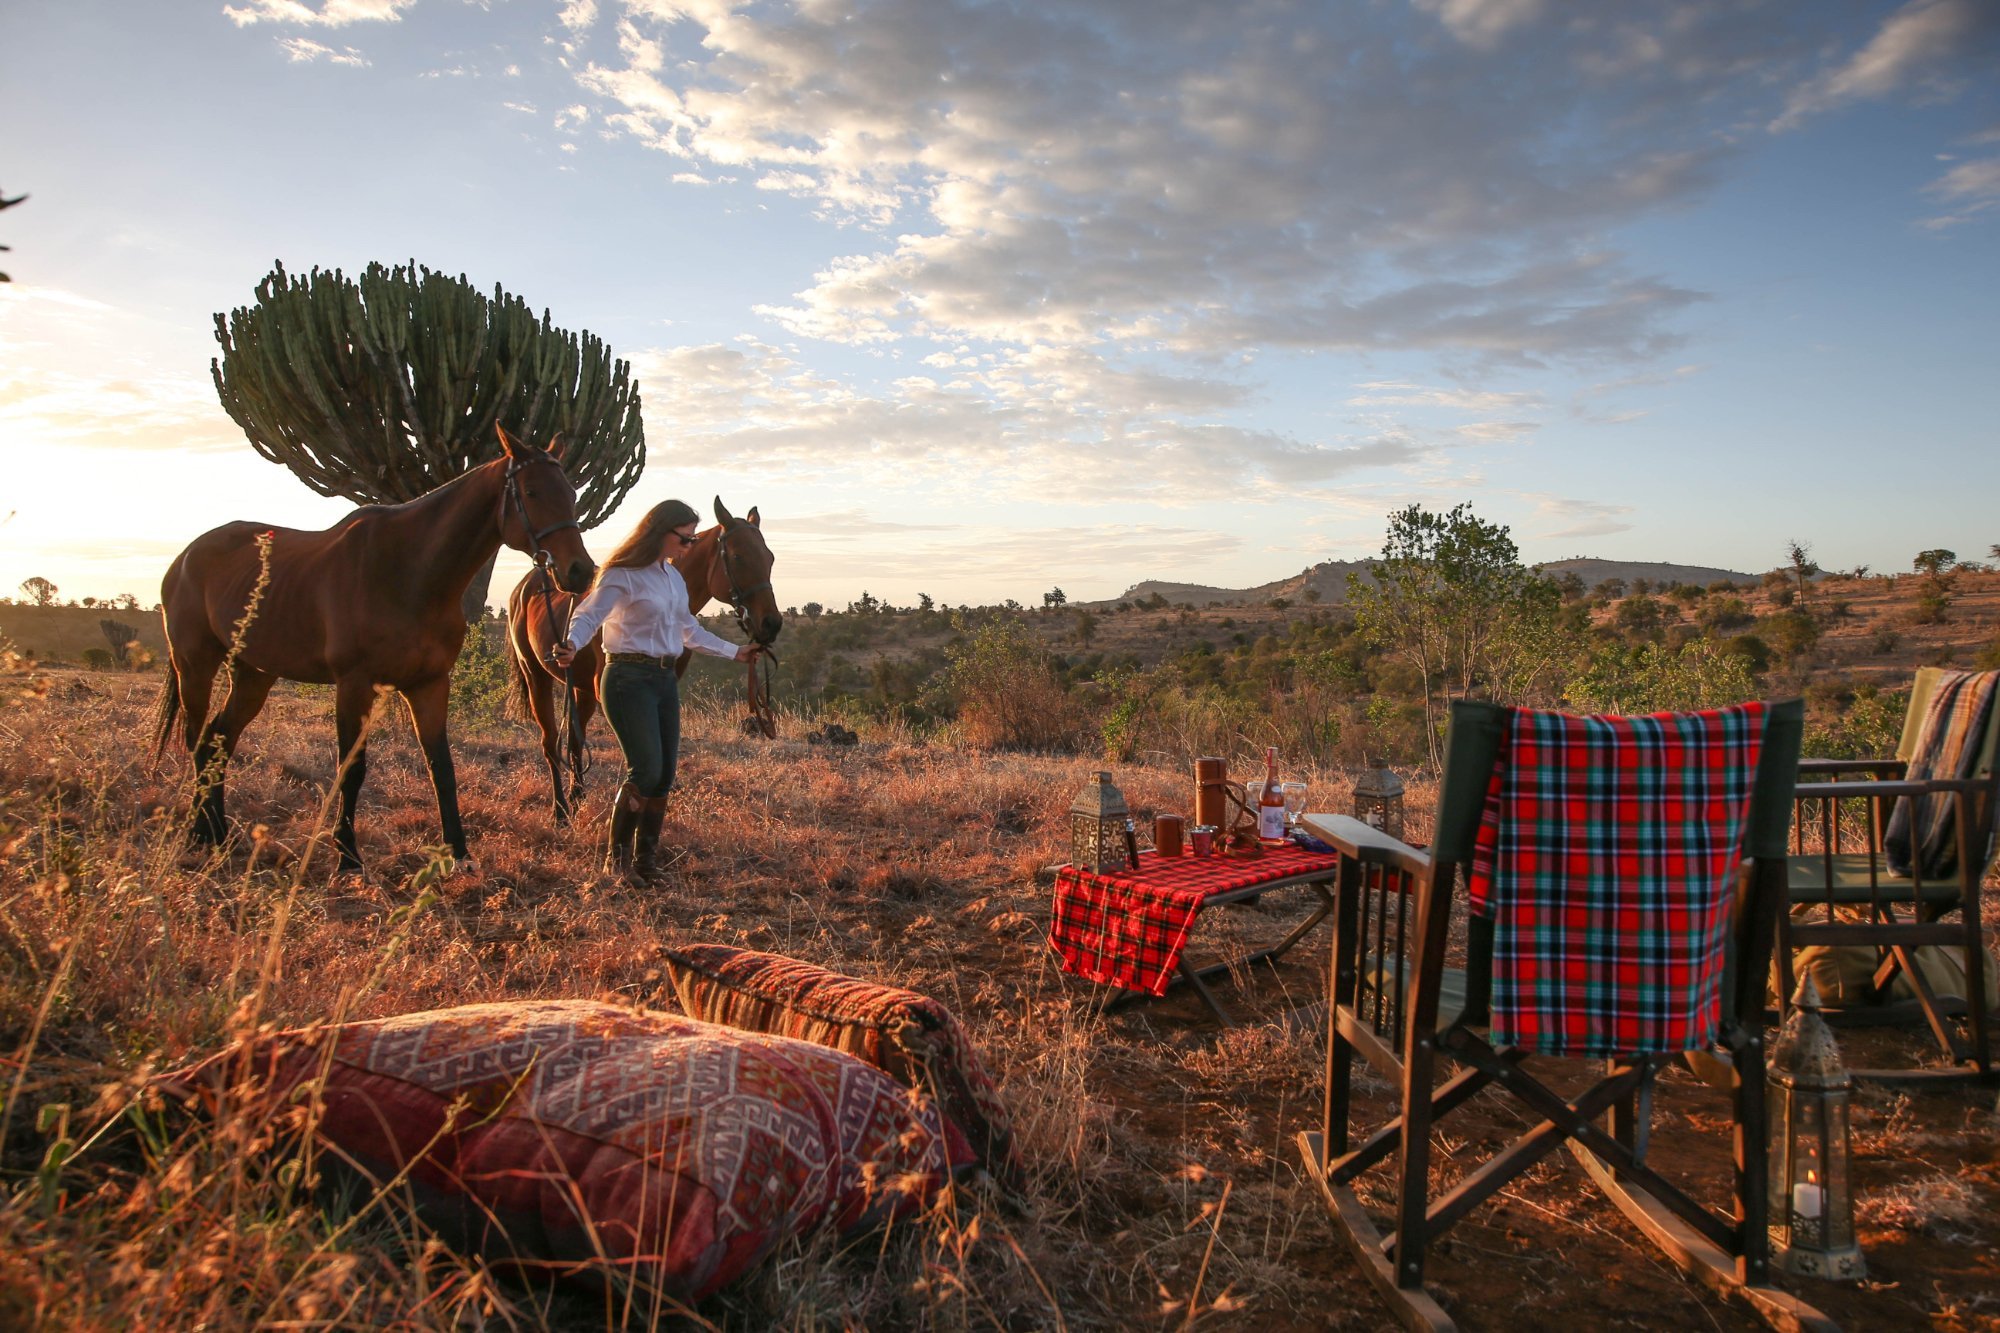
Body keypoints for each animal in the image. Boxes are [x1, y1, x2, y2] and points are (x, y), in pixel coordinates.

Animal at [156, 420, 592, 868]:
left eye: (571, 493)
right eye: (532, 492)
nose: (580, 571)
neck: (410, 573)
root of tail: (185, 558)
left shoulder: (429, 684)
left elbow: (441, 766)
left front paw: (458, 851)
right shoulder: (354, 685)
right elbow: (353, 768)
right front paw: (348, 853)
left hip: (253, 674)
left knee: (219, 740)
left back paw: (218, 830)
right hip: (195, 665)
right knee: (197, 741)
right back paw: (199, 831)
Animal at [504, 496, 776, 820]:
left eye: (770, 558)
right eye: (737, 557)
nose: (771, 624)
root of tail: (525, 586)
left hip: (580, 689)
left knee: (573, 741)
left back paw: (578, 797)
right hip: (537, 678)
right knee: (550, 743)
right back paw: (560, 810)